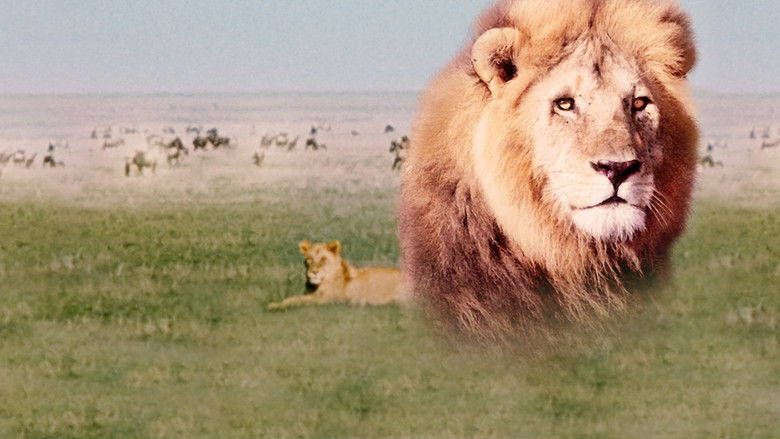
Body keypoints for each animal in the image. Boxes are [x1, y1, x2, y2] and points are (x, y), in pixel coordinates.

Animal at [266, 240, 409, 310]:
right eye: (309, 259)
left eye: (323, 259)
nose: (314, 272)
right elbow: (292, 298)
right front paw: (275, 304)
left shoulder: (326, 300)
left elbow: (299, 300)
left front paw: (275, 306)